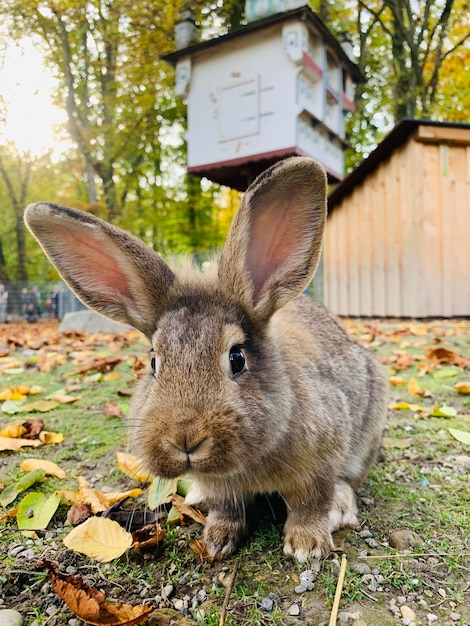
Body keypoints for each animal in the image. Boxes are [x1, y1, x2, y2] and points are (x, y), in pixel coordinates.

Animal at [23, 156, 388, 560]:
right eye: (154, 362)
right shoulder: (222, 487)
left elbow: (310, 504)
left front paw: (307, 546)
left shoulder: (318, 464)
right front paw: (217, 540)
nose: (185, 439)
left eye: (237, 358)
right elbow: (227, 507)